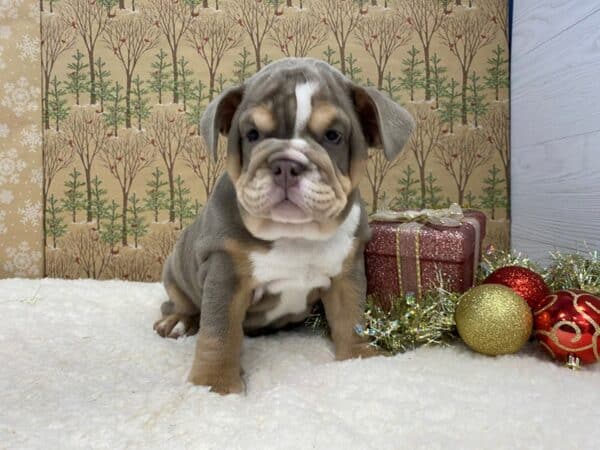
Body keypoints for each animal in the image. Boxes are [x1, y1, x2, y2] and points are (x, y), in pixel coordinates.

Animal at [152, 59, 414, 394]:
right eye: (252, 134)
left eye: (333, 136)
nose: (287, 164)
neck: (294, 234)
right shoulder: (226, 273)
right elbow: (219, 332)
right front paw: (214, 384)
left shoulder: (346, 271)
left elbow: (351, 316)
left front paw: (359, 357)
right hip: (176, 271)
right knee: (179, 304)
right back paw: (177, 321)